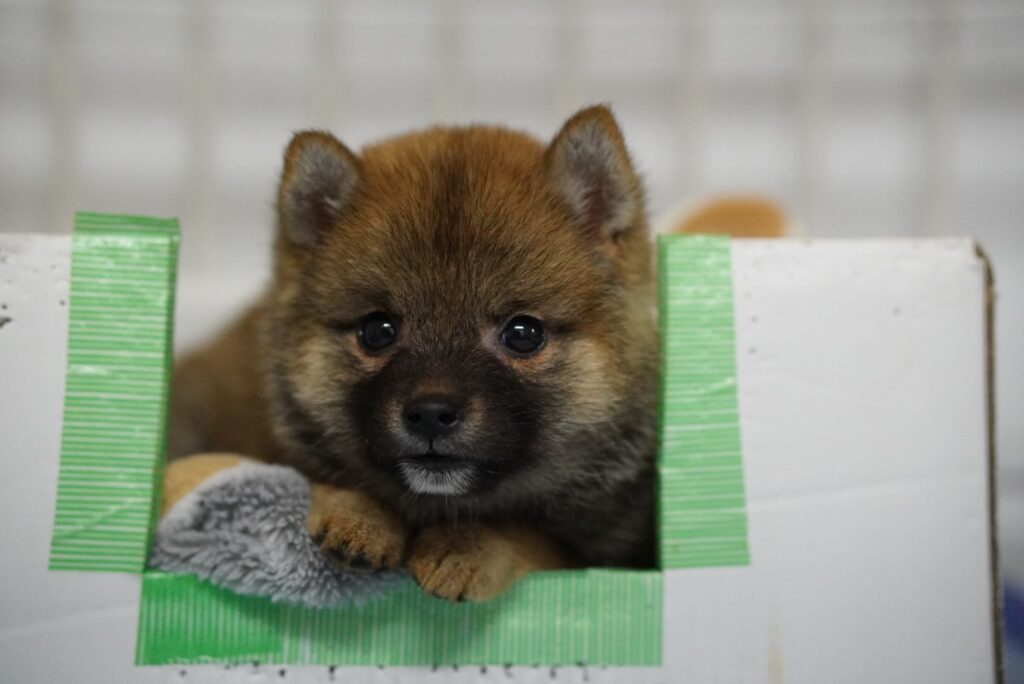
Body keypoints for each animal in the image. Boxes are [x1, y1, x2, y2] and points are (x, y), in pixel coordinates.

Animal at [169, 104, 655, 602]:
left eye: (523, 334)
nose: (431, 414)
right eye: (376, 331)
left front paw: (466, 548)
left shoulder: (593, 554)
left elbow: (521, 534)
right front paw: (359, 516)